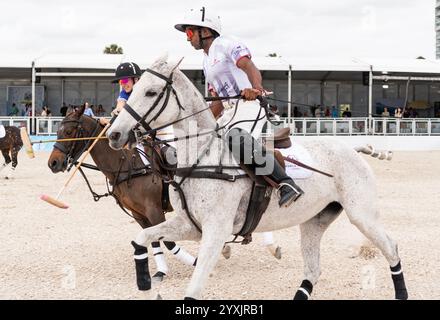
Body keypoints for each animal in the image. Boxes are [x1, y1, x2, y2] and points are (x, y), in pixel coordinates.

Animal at [46, 107, 196, 280]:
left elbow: (168, 241)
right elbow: (153, 239)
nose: (53, 163)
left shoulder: (154, 209)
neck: (127, 164)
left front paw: (195, 262)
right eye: (58, 131)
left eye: (69, 131)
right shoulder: (138, 213)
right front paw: (161, 271)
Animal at [106, 57, 410, 300]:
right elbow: (142, 237)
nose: (114, 134)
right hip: (314, 221)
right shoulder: (191, 225)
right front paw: (145, 281)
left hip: (362, 214)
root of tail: (352, 149)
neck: (201, 157)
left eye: (150, 92)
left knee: (392, 247)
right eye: (133, 89)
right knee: (313, 270)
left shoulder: (216, 230)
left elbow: (194, 288)